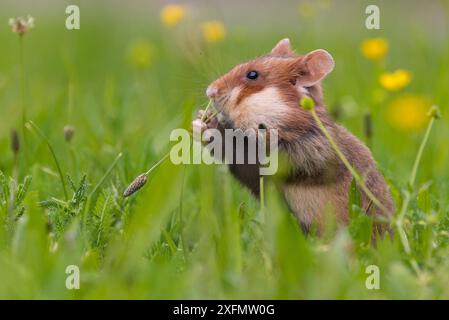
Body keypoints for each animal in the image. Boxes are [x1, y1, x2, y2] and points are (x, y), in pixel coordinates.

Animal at [192, 38, 392, 235]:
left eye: (252, 75)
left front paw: (205, 126)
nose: (210, 91)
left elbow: (240, 151)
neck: (287, 122)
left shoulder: (292, 159)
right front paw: (200, 120)